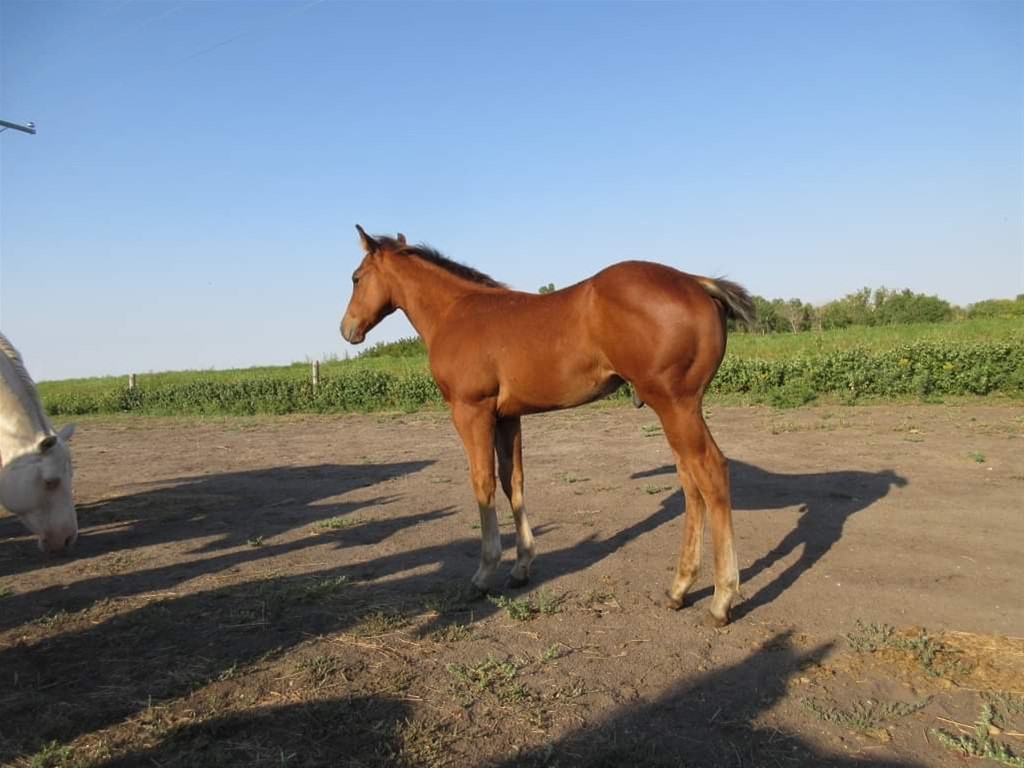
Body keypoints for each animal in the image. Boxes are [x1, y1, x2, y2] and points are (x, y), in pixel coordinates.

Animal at [340, 226, 754, 626]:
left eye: (356, 278)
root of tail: (696, 282)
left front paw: (484, 574)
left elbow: (482, 483)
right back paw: (679, 588)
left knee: (710, 472)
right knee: (690, 482)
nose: (347, 329)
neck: (455, 312)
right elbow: (513, 481)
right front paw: (521, 567)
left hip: (674, 404)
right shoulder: (507, 416)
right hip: (675, 408)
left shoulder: (470, 410)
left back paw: (721, 600)